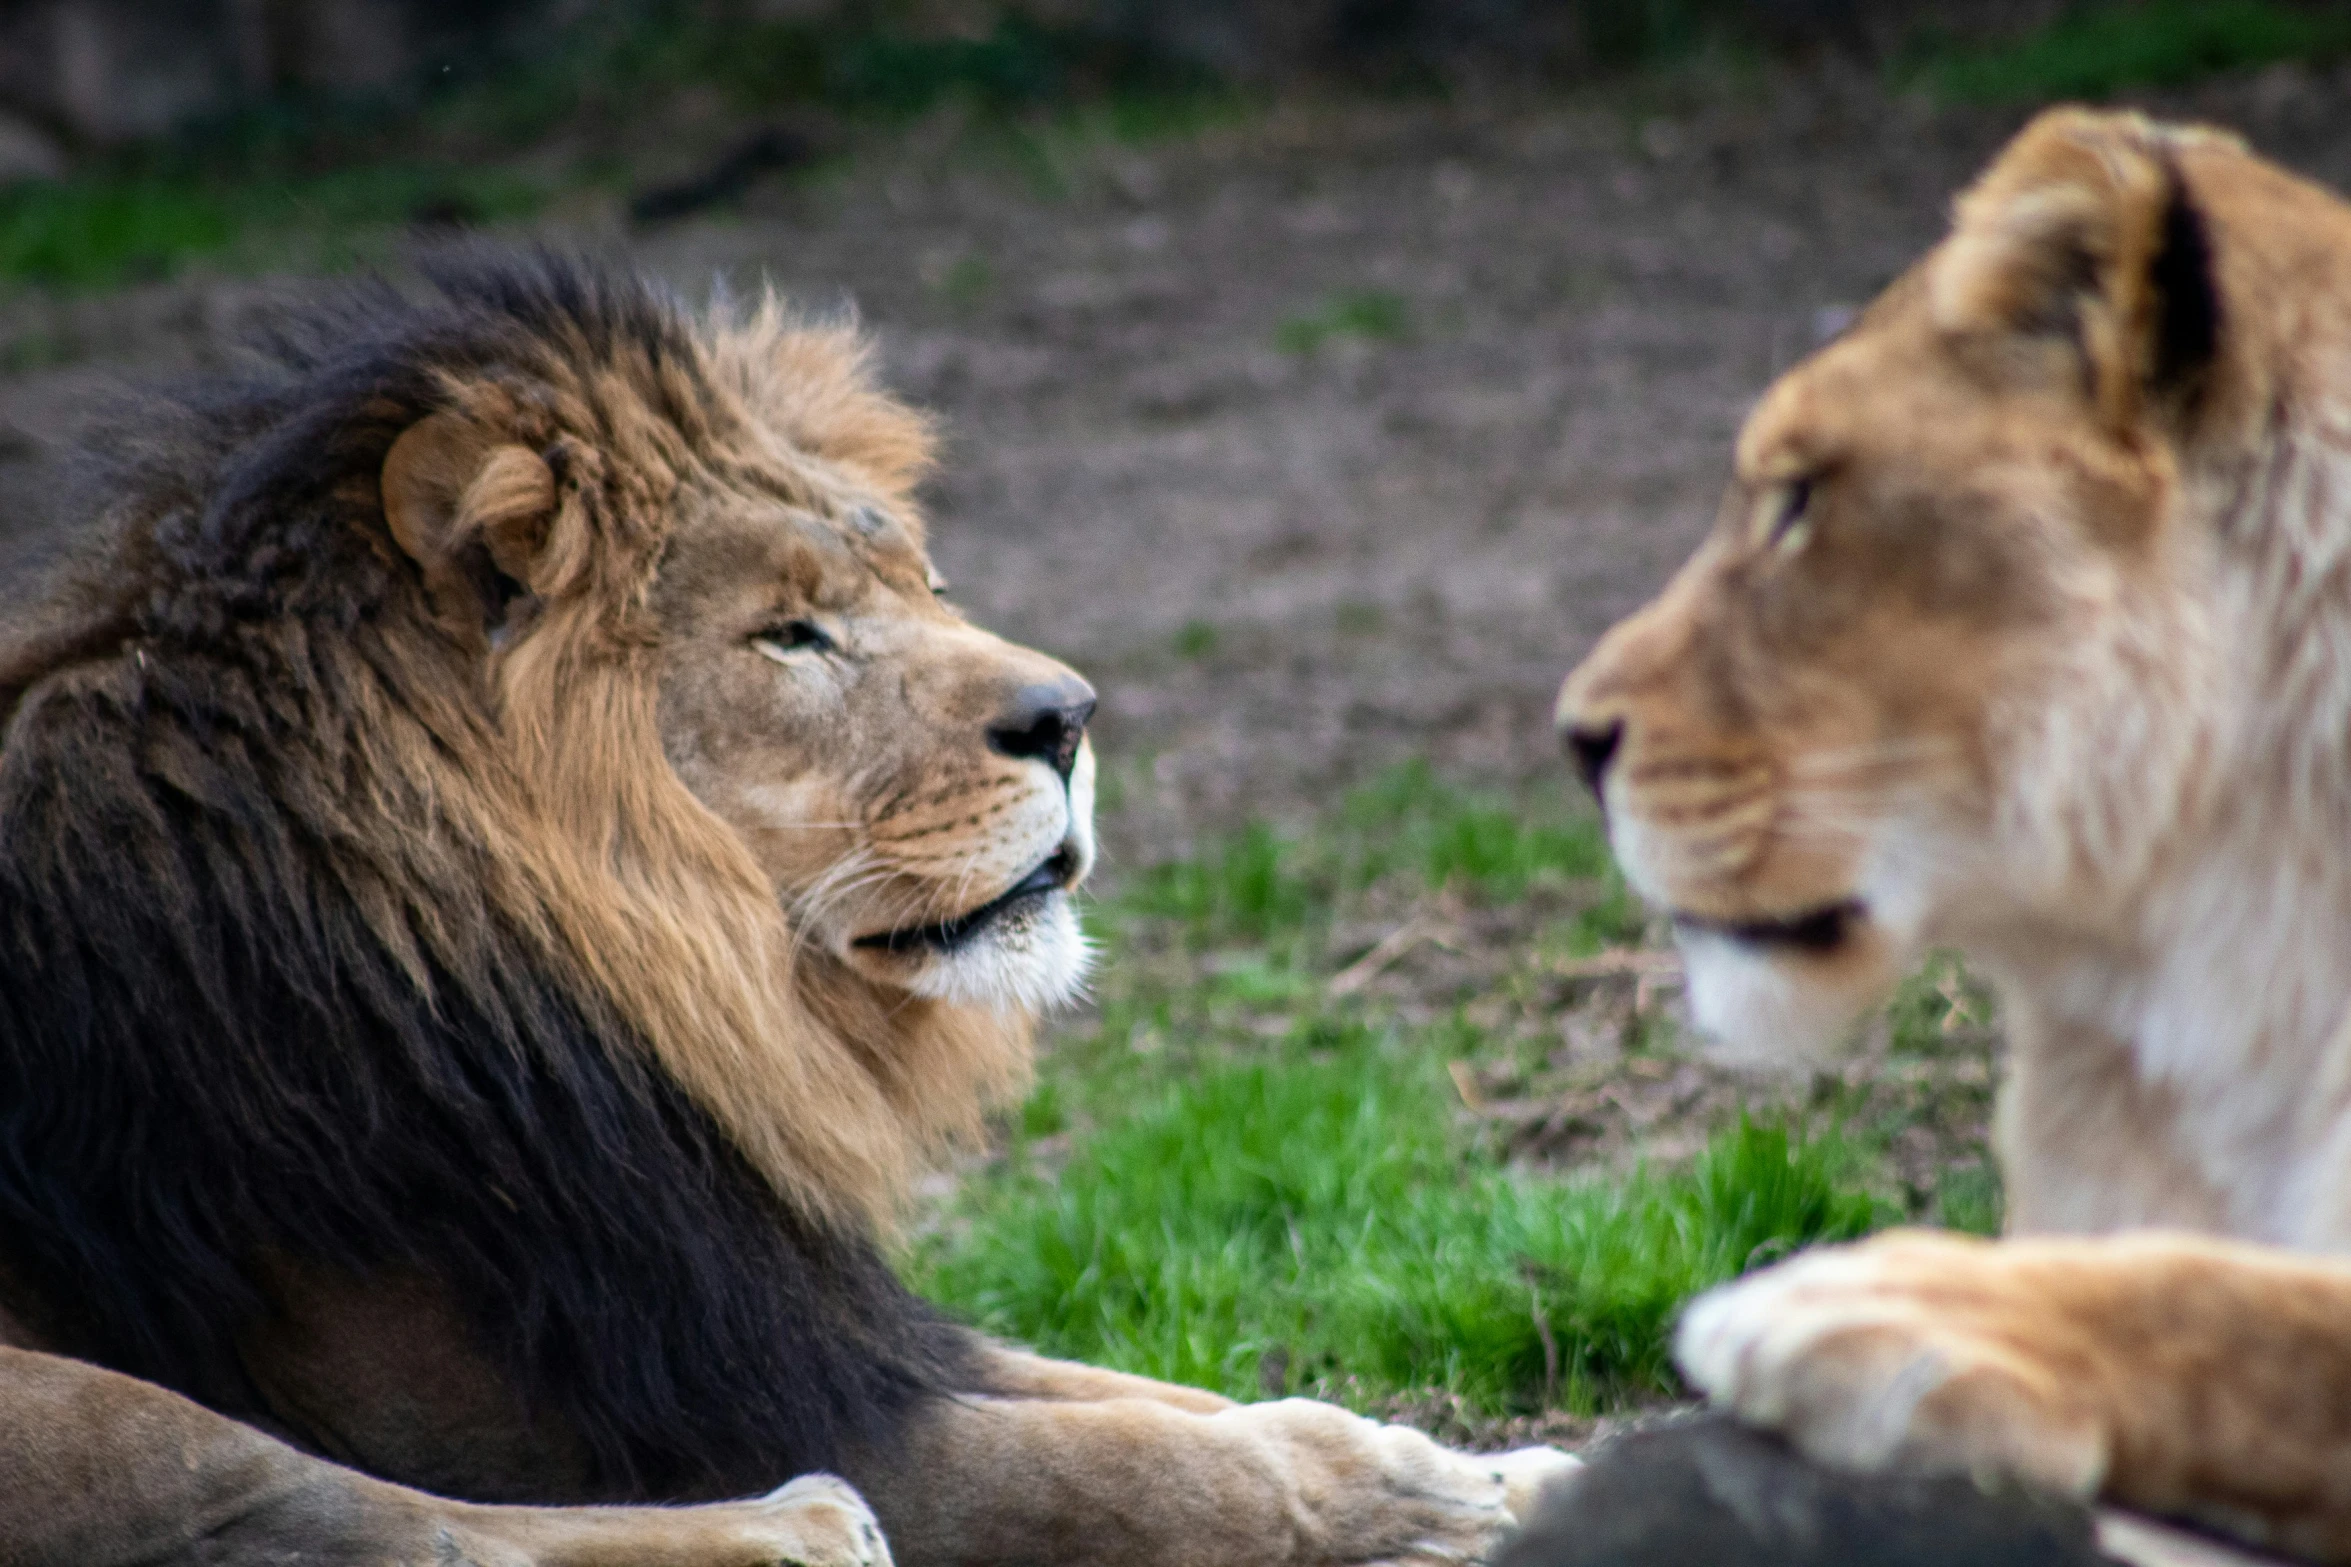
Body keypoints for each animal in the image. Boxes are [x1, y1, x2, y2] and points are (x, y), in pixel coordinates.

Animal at [0, 257, 1561, 1567]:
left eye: (926, 583)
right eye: (790, 633)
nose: (1070, 717)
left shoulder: (783, 1314)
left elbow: (1166, 1396)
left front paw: (1493, 1471)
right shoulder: (601, 1392)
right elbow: (1127, 1465)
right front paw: (1422, 1499)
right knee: (347, 1520)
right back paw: (794, 1527)